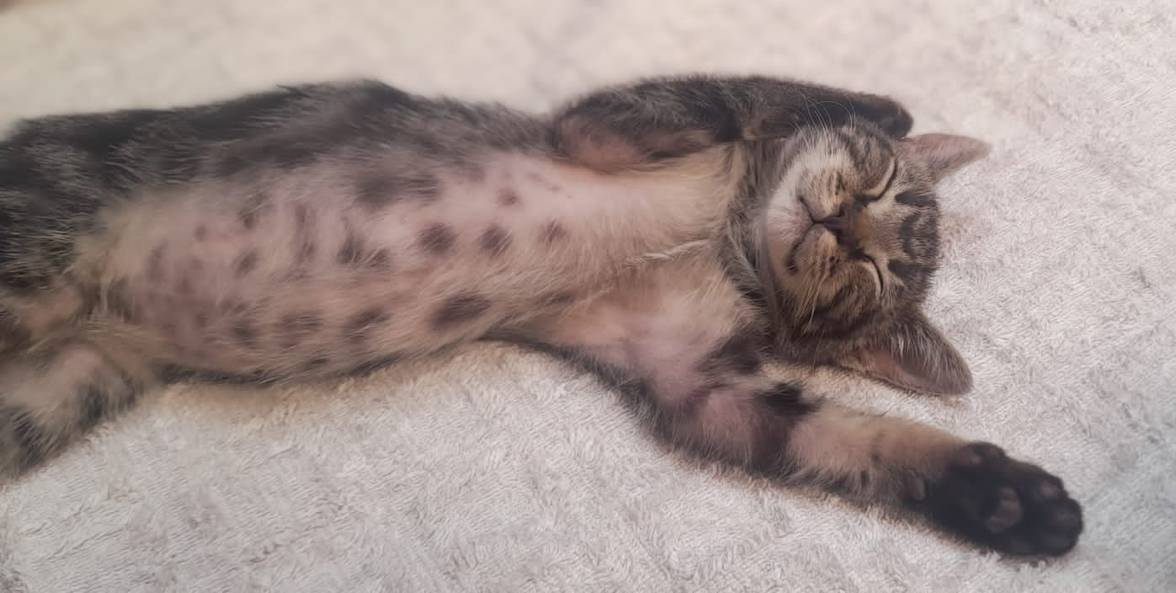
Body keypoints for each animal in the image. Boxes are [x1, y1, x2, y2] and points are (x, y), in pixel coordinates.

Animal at [0, 75, 1082, 556]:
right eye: (883, 187)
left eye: (874, 268)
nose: (843, 219)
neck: (726, 237)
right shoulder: (603, 125)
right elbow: (746, 93)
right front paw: (880, 105)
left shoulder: (697, 381)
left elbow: (840, 437)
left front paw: (1012, 501)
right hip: (36, 265)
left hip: (57, 385)